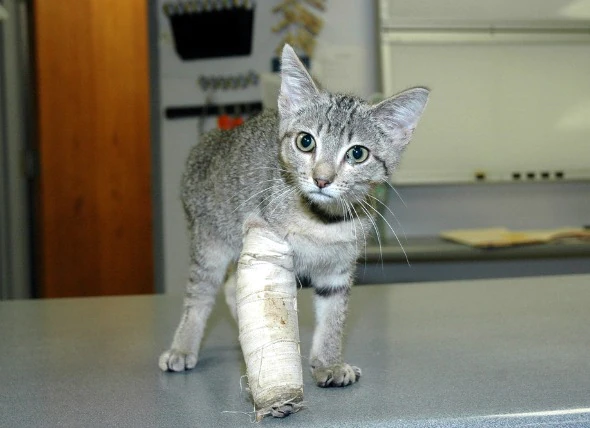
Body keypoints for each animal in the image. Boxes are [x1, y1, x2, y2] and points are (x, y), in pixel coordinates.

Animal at [160, 45, 432, 390]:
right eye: (305, 141)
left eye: (357, 154)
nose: (322, 179)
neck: (323, 221)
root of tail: (211, 141)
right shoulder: (273, 255)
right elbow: (272, 306)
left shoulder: (338, 269)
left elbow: (333, 316)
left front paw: (329, 362)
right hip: (210, 240)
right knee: (202, 293)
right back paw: (183, 346)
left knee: (232, 287)